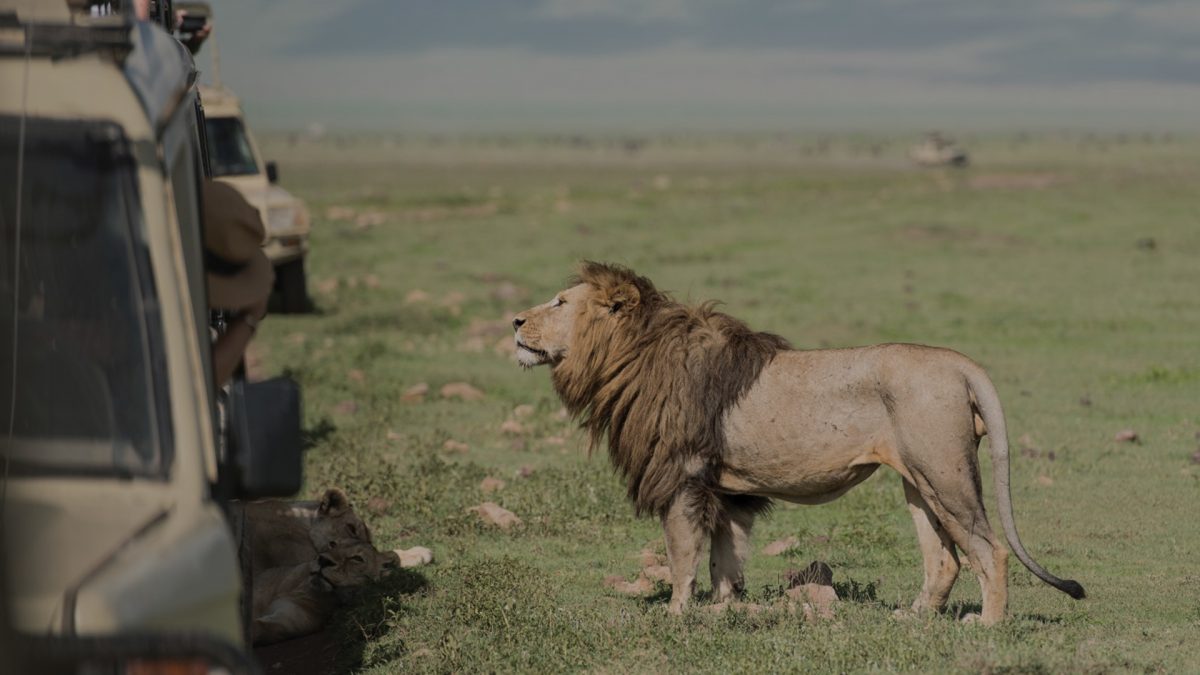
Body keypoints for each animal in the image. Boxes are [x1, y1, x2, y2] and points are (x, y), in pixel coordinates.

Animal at [513, 262, 1084, 625]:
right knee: (944, 559)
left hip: (944, 474)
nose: (515, 321)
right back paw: (914, 617)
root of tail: (960, 362)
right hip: (919, 481)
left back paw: (988, 625)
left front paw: (675, 614)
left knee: (991, 550)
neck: (628, 356)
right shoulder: (728, 491)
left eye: (559, 302)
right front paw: (723, 610)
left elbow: (682, 555)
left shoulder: (682, 476)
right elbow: (725, 558)